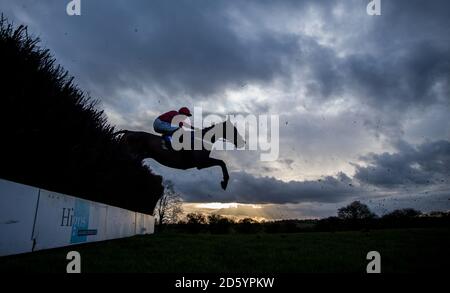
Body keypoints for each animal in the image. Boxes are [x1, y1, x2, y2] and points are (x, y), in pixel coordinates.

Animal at [114, 118, 244, 189]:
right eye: (234, 130)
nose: (243, 142)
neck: (202, 139)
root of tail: (128, 131)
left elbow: (221, 163)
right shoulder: (201, 163)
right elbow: (221, 162)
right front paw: (224, 182)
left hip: (137, 156)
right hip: (129, 154)